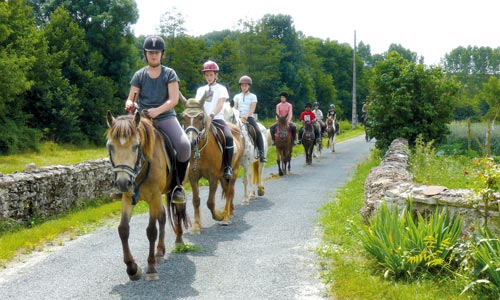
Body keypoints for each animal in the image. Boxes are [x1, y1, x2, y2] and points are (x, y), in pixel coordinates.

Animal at [104, 110, 188, 282]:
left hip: (172, 191)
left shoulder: (153, 196)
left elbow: (151, 231)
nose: (123, 182)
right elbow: (123, 229)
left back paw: (179, 241)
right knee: (162, 217)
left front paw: (151, 268)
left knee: (178, 210)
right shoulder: (128, 197)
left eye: (136, 146)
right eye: (110, 146)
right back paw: (160, 251)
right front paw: (132, 268)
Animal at [181, 92, 245, 233]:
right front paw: (196, 226)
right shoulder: (193, 177)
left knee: (230, 191)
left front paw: (219, 215)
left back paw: (226, 218)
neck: (201, 151)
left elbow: (210, 202)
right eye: (183, 117)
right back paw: (230, 211)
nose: (191, 142)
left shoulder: (213, 177)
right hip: (222, 176)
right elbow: (196, 200)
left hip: (234, 171)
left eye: (200, 117)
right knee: (227, 190)